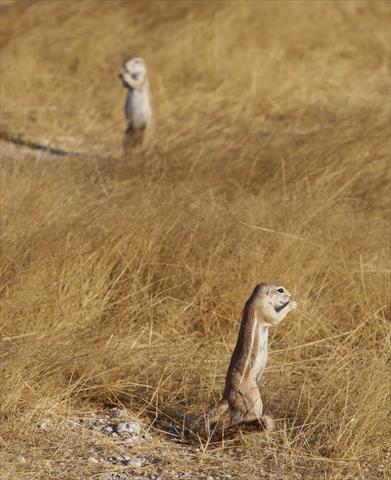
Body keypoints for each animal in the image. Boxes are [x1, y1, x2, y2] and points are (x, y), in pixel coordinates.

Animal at [193, 284, 298, 434]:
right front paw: (292, 304)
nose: (290, 295)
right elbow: (275, 319)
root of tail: (227, 395)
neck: (256, 299)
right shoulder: (264, 311)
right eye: (280, 290)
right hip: (253, 398)